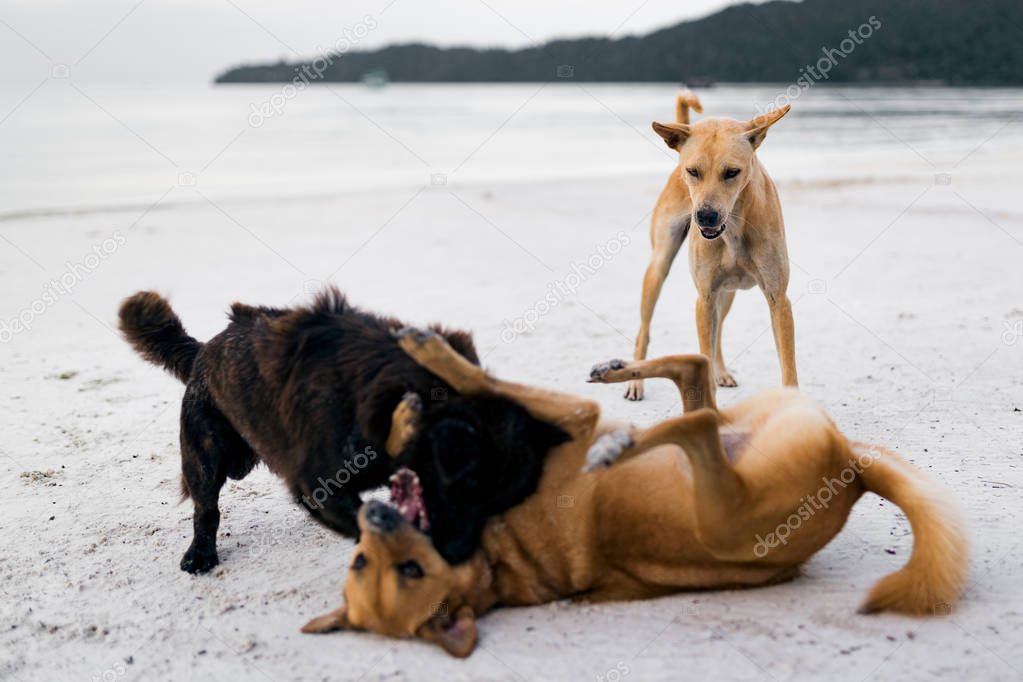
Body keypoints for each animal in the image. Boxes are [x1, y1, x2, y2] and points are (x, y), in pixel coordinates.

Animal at [300, 329, 965, 654]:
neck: (494, 559)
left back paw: (619, 379)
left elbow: (466, 393)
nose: (375, 519)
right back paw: (621, 440)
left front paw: (414, 403)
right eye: (376, 564)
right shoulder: (567, 422)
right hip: (721, 502)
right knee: (697, 414)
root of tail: (851, 468)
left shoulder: (555, 421)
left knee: (695, 379)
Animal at [621, 92, 797, 400]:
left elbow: (787, 363)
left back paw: (721, 371)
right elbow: (704, 349)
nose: (705, 216)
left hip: (727, 292)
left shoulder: (778, 298)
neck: (734, 228)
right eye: (693, 171)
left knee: (719, 332)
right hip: (659, 268)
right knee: (645, 329)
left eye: (732, 172)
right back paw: (636, 381)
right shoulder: (704, 298)